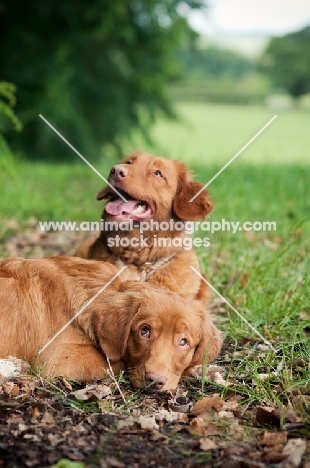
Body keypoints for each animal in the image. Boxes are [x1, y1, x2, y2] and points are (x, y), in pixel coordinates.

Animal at [0, 256, 223, 392]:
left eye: (183, 341)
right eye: (144, 331)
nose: (154, 381)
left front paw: (204, 370)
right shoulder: (57, 359)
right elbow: (118, 363)